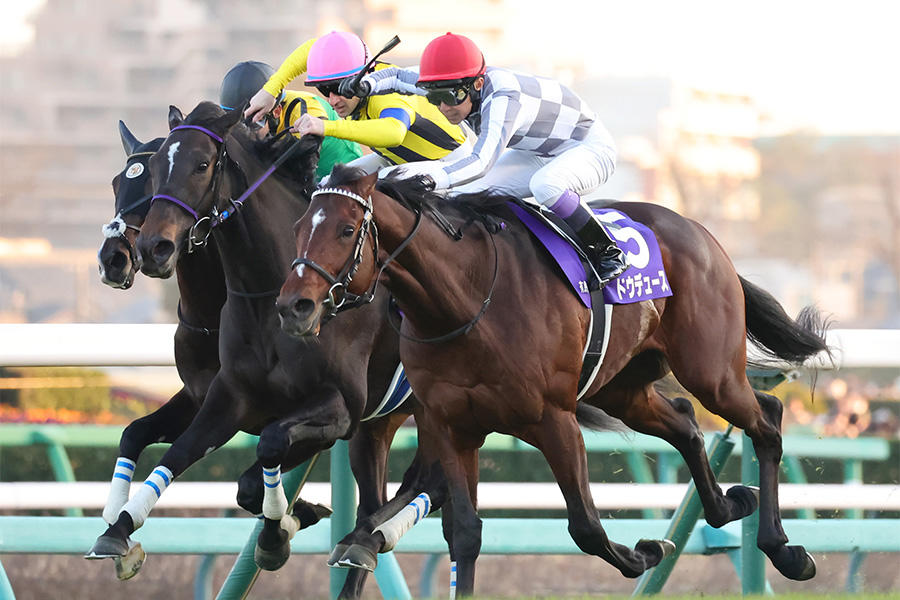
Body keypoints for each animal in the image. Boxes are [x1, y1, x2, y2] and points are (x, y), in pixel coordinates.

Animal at [92, 101, 416, 598]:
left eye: (202, 165)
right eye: (120, 183)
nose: (137, 251)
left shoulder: (338, 410)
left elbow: (265, 455)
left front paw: (282, 531)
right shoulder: (222, 397)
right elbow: (161, 445)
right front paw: (118, 530)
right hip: (379, 426)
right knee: (373, 508)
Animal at [275, 166, 829, 595]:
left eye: (347, 229)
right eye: (299, 225)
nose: (293, 306)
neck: (467, 301)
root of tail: (700, 232)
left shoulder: (553, 419)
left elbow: (586, 527)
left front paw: (647, 551)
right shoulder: (451, 426)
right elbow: (465, 533)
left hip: (711, 371)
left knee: (766, 419)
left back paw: (785, 550)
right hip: (623, 389)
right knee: (687, 423)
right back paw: (729, 504)